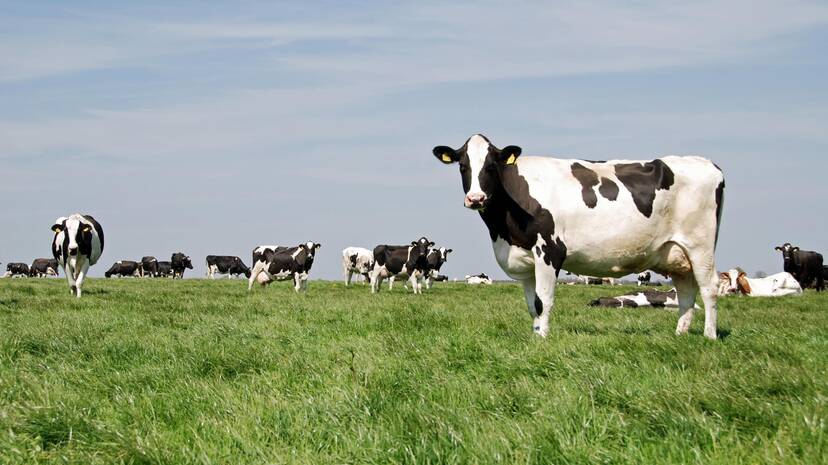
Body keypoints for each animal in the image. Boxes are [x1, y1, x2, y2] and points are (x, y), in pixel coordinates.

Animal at [433, 134, 724, 339]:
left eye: (492, 165)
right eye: (462, 166)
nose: (476, 198)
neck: (503, 232)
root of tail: (706, 163)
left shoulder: (550, 250)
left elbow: (543, 300)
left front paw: (542, 339)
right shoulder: (525, 261)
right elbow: (532, 304)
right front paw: (535, 335)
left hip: (700, 246)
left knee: (709, 288)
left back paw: (709, 336)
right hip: (676, 253)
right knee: (686, 292)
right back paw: (680, 335)